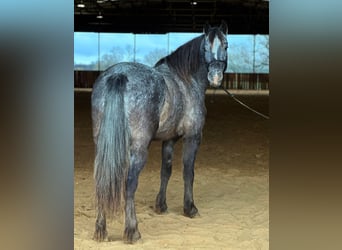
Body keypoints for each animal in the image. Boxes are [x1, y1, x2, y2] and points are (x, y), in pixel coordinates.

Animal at [91, 20, 227, 243]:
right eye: (206, 47)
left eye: (225, 44)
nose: (215, 76)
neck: (186, 81)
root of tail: (118, 75)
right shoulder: (193, 137)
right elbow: (188, 171)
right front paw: (190, 208)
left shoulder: (169, 139)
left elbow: (166, 170)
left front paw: (161, 206)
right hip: (138, 149)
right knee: (130, 184)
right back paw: (132, 231)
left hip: (102, 147)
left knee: (102, 180)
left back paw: (100, 231)